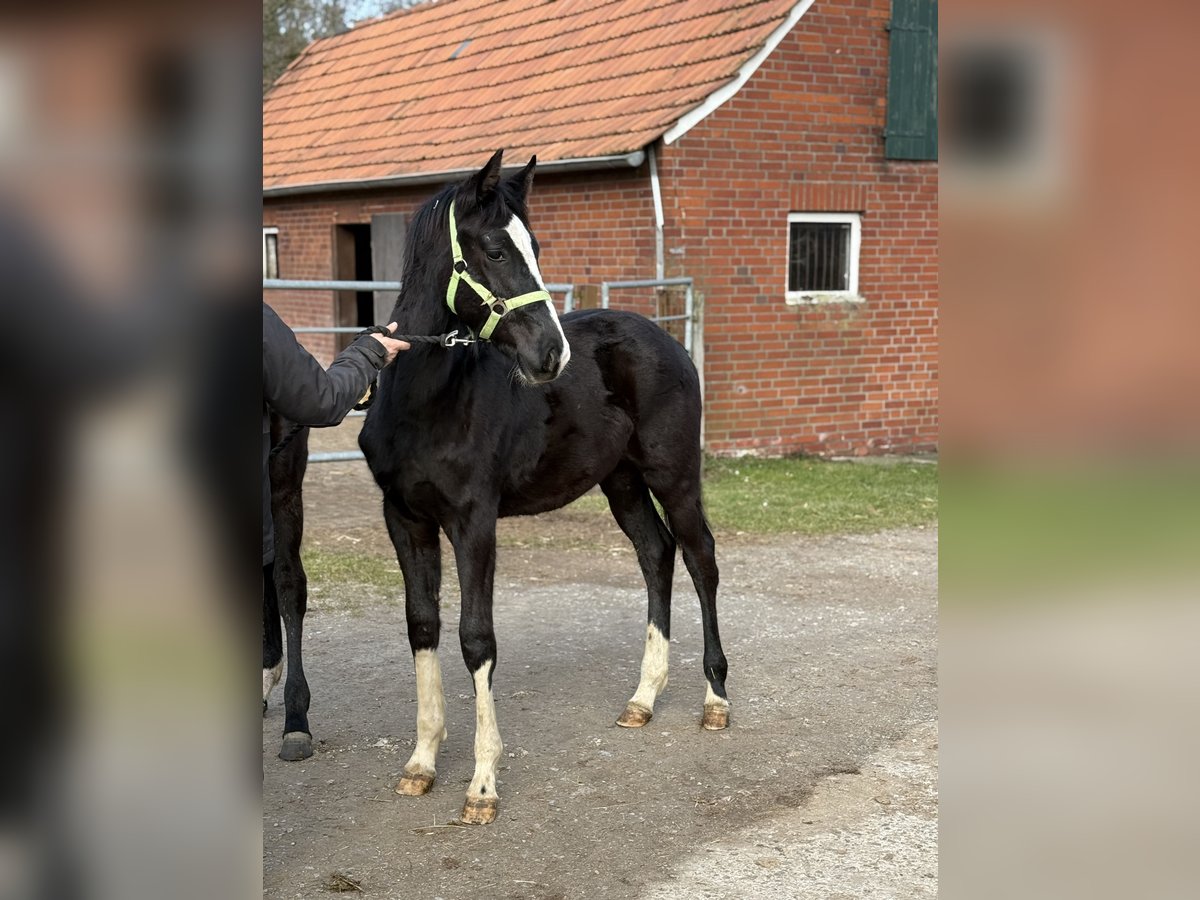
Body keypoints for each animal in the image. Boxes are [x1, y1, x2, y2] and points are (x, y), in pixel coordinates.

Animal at [357, 151, 729, 830]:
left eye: (536, 245)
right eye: (495, 250)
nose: (551, 355)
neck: (426, 400)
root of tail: (665, 337)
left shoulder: (474, 521)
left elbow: (476, 638)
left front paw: (482, 785)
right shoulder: (405, 519)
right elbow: (422, 625)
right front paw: (421, 761)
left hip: (674, 475)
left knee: (700, 558)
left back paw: (716, 699)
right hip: (622, 481)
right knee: (656, 554)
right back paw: (643, 698)